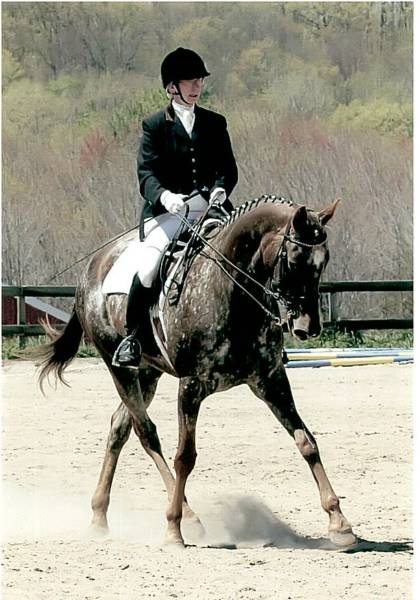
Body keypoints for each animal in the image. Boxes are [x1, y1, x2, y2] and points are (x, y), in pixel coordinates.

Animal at [36, 194, 357, 548]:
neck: (230, 293)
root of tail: (91, 269)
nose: (307, 327)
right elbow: (184, 456)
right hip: (118, 367)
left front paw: (339, 523)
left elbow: (306, 442)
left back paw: (98, 516)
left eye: (323, 261)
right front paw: (173, 529)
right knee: (146, 433)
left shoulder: (270, 380)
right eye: (294, 259)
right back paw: (187, 517)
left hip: (148, 372)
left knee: (120, 427)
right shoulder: (191, 386)